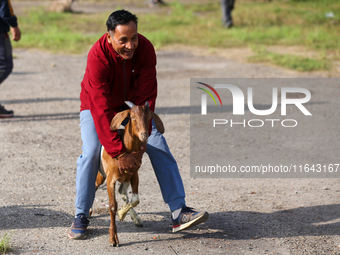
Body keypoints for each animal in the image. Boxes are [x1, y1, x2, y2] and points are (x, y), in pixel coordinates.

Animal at [93, 100, 164, 246]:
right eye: (132, 117)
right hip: (101, 175)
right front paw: (113, 239)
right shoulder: (110, 179)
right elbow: (112, 206)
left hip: (125, 179)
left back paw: (134, 217)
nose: (144, 135)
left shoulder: (134, 175)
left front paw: (122, 213)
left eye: (149, 117)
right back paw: (89, 211)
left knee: (122, 192)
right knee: (94, 186)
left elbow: (136, 199)